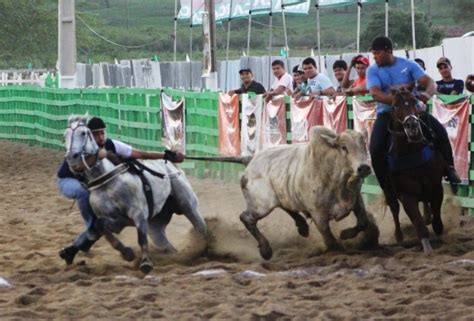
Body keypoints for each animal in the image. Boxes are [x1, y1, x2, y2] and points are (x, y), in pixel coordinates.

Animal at [65, 115, 207, 272]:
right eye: (65, 135)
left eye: (84, 133)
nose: (72, 158)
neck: (108, 182)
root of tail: (172, 166)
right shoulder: (117, 220)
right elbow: (99, 226)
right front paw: (127, 253)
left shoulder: (138, 214)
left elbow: (141, 238)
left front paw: (145, 262)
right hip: (156, 222)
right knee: (163, 241)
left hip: (187, 204)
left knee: (200, 227)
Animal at [386, 89, 446, 254]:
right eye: (395, 105)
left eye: (414, 101)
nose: (412, 126)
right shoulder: (406, 195)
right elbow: (418, 222)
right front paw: (427, 247)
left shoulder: (437, 187)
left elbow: (437, 216)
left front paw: (438, 233)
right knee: (394, 208)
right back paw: (399, 236)